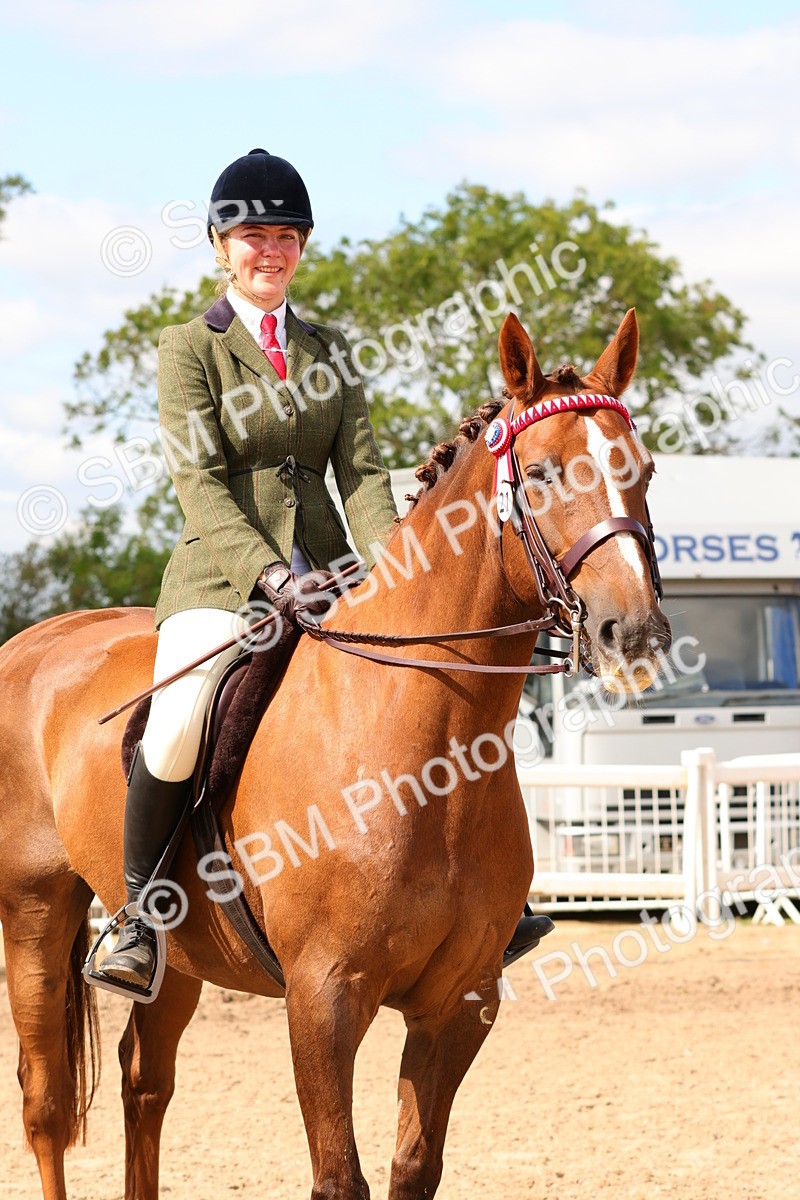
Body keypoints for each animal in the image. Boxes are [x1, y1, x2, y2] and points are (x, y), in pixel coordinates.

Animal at [0, 309, 670, 1199]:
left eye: (646, 471)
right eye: (539, 473)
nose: (634, 634)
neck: (428, 753)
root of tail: (34, 639)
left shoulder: (461, 1002)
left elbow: (414, 1166)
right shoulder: (323, 1000)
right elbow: (338, 1175)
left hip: (180, 956)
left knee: (145, 1084)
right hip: (34, 909)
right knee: (45, 1103)